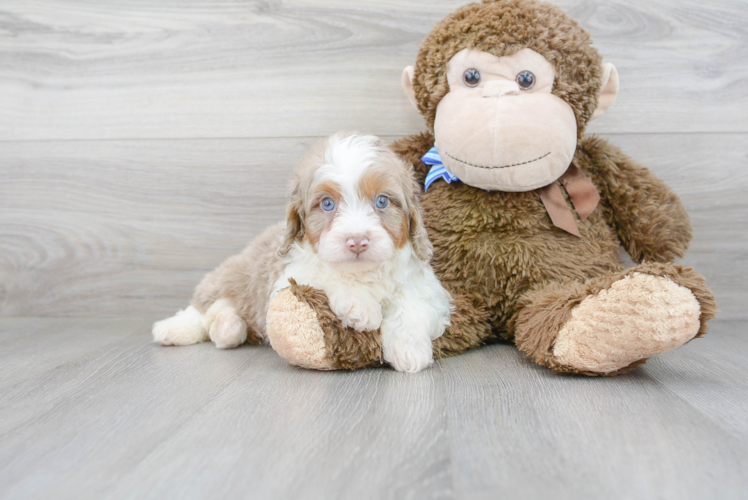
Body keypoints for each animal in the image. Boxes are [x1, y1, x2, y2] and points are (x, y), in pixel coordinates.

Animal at [153, 133, 450, 372]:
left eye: (382, 201)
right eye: (327, 204)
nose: (357, 241)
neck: (363, 272)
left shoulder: (428, 288)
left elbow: (410, 304)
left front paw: (409, 350)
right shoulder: (286, 277)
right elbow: (324, 277)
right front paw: (360, 305)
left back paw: (227, 327)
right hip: (233, 274)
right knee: (201, 308)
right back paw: (172, 329)